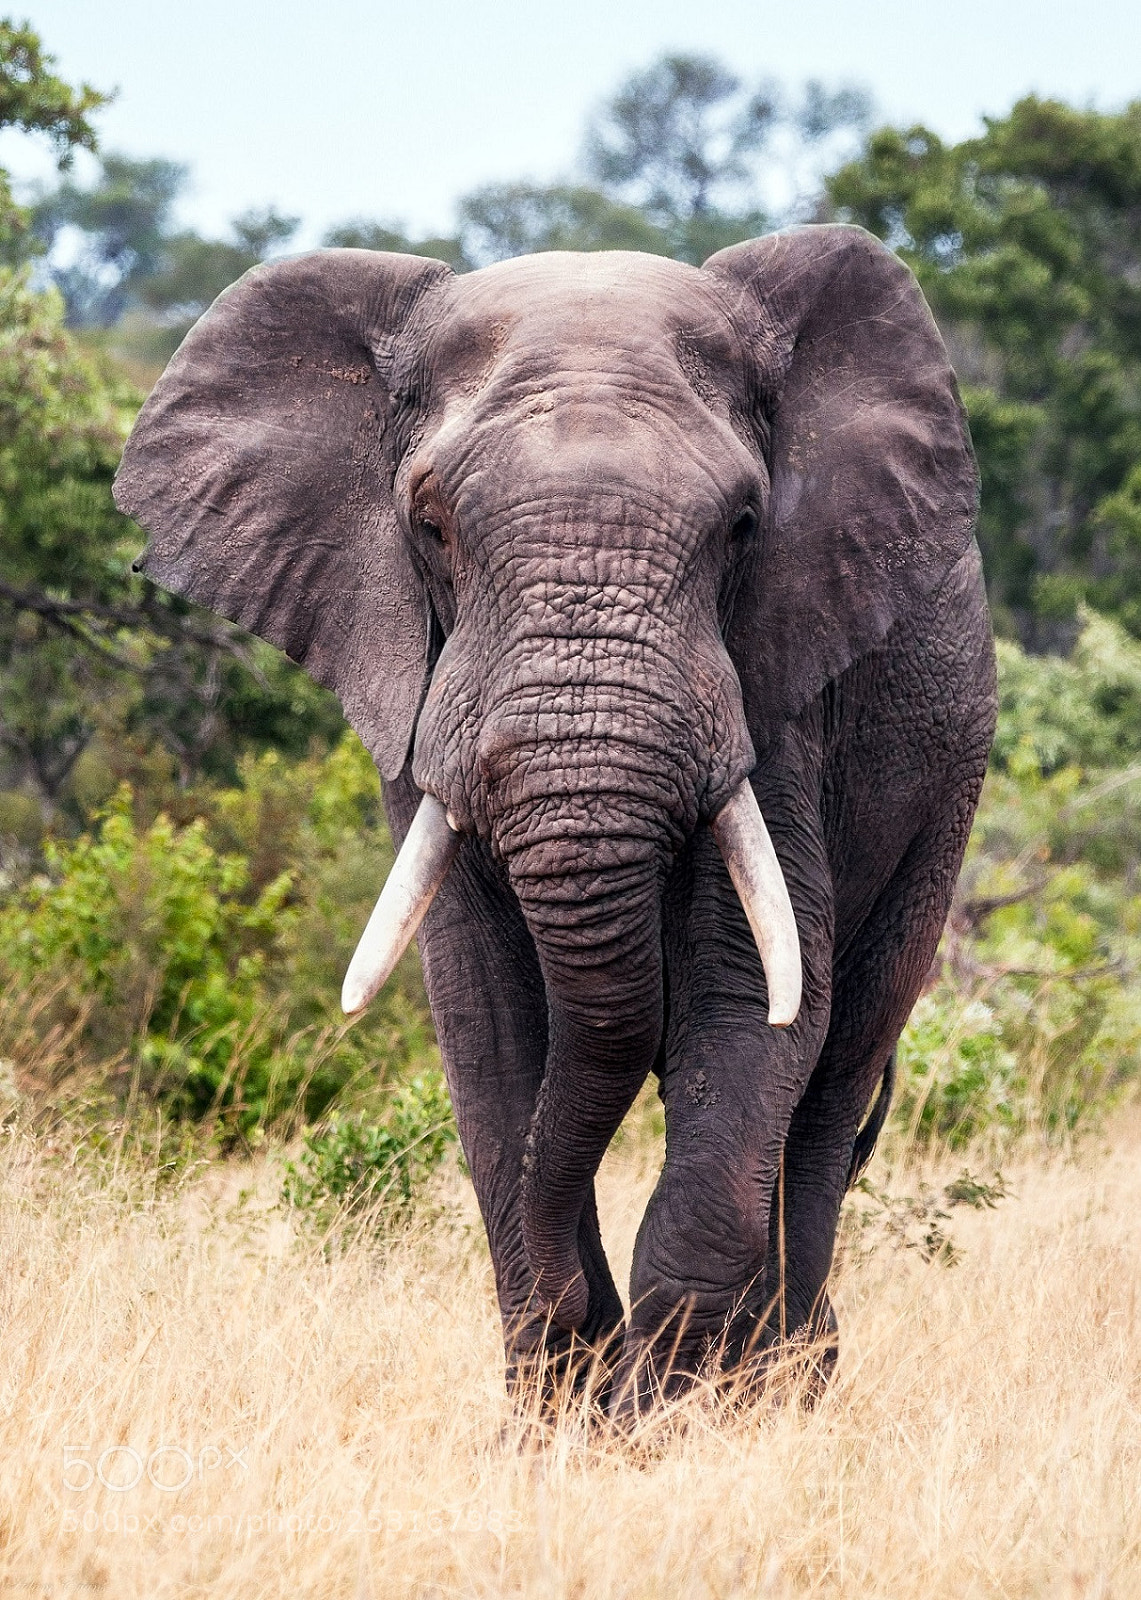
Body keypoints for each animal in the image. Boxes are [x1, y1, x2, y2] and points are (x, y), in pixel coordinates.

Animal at [114, 224, 997, 1418]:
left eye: (743, 527)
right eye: (430, 526)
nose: (593, 1339)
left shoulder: (775, 691)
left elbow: (752, 999)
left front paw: (667, 1423)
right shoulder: (423, 700)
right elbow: (486, 1017)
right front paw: (563, 1415)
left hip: (945, 787)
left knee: (833, 1079)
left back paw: (791, 1387)